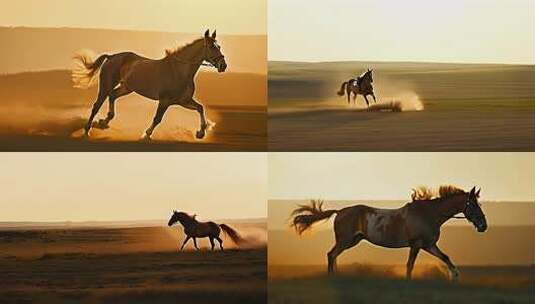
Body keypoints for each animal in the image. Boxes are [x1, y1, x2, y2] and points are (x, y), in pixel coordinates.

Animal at [72, 28, 227, 140]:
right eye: (212, 47)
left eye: (219, 46)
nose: (223, 66)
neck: (179, 71)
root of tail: (111, 57)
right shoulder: (165, 101)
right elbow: (158, 118)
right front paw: (146, 134)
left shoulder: (183, 101)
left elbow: (200, 108)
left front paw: (201, 132)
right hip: (106, 86)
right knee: (97, 105)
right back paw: (87, 130)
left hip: (127, 87)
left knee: (113, 96)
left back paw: (105, 121)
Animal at [292, 186, 488, 282]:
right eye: (473, 205)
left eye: (479, 204)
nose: (483, 226)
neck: (429, 214)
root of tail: (339, 211)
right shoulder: (417, 244)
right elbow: (410, 265)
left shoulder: (429, 245)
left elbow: (445, 257)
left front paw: (455, 276)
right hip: (345, 240)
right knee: (331, 254)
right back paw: (332, 277)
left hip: (352, 240)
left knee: (333, 255)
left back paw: (337, 275)